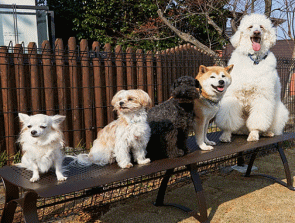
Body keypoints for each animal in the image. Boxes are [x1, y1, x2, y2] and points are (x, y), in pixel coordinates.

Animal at [215, 13, 290, 142]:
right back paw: (239, 132)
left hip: (280, 113)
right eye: (250, 26)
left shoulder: (261, 97)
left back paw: (267, 132)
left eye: (261, 27)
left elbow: (258, 120)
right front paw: (226, 134)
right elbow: (228, 118)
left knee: (271, 126)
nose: (256, 32)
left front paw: (254, 134)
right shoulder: (233, 95)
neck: (254, 60)